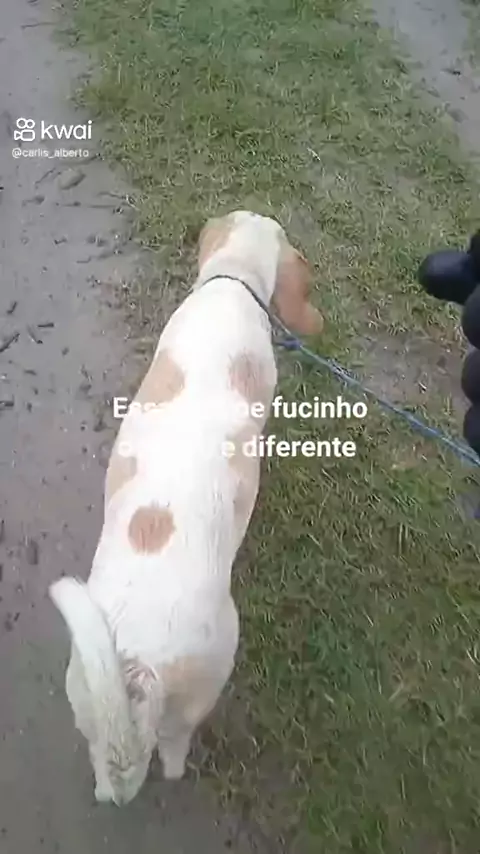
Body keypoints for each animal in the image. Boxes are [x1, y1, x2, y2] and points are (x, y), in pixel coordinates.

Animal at [49, 210, 323, 805]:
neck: (230, 281)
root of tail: (139, 664)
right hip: (205, 677)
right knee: (172, 756)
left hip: (89, 708)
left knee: (105, 775)